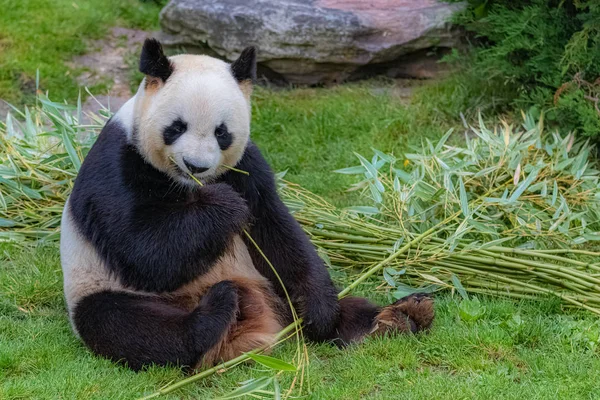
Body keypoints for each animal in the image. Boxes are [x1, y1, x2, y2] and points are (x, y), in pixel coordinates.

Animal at [59, 39, 436, 370]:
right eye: (176, 127)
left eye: (221, 132)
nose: (197, 166)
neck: (185, 184)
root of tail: (248, 329)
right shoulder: (118, 166)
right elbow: (143, 251)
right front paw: (222, 205)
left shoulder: (247, 167)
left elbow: (276, 231)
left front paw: (319, 311)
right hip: (101, 287)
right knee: (125, 324)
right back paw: (215, 310)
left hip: (271, 286)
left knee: (345, 308)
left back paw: (399, 316)